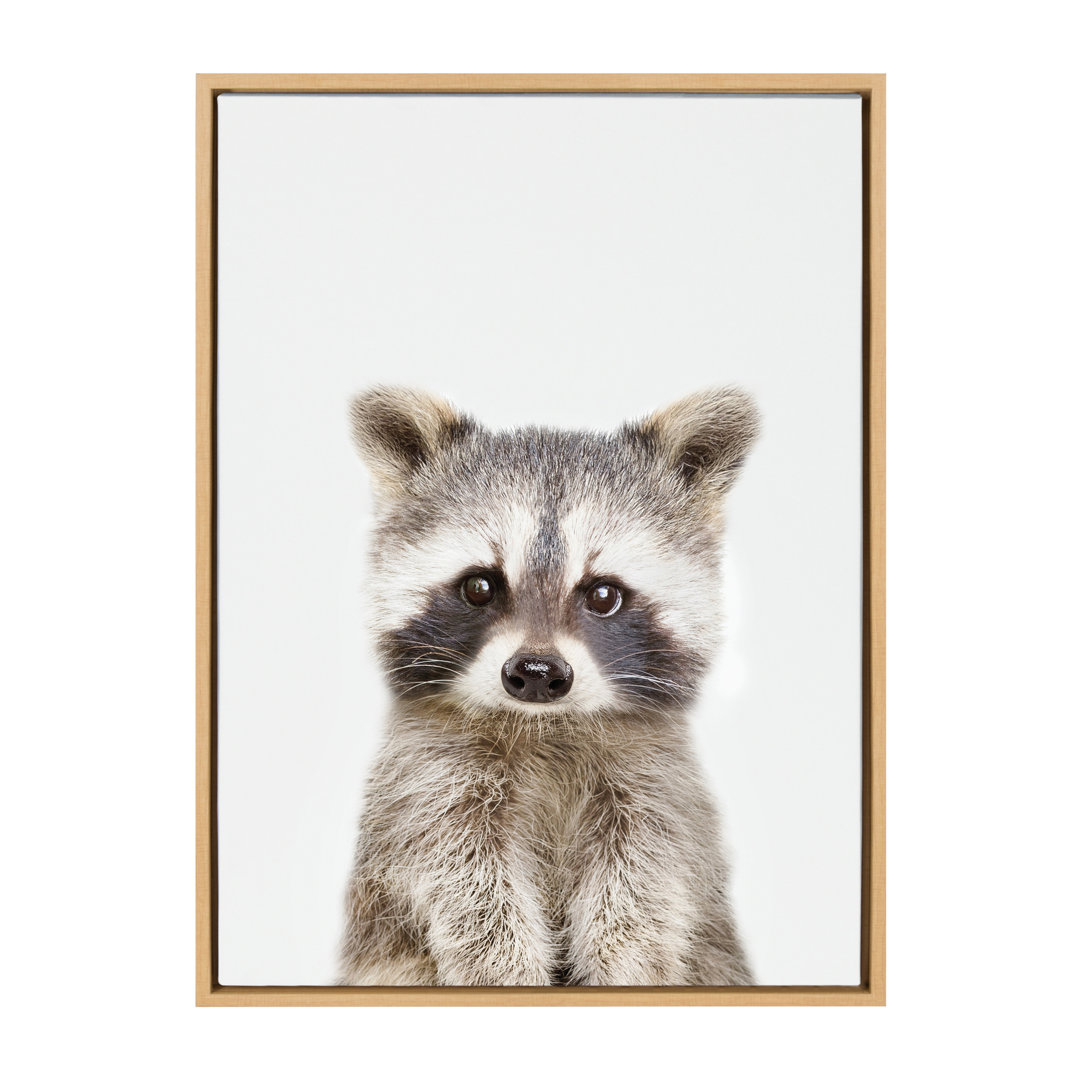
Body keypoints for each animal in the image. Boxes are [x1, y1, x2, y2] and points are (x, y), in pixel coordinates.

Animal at [338, 385, 759, 987]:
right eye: (479, 586)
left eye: (603, 594)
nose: (537, 674)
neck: (545, 727)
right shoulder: (425, 781)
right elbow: (465, 881)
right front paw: (505, 970)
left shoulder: (657, 784)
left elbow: (646, 884)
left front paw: (622, 966)